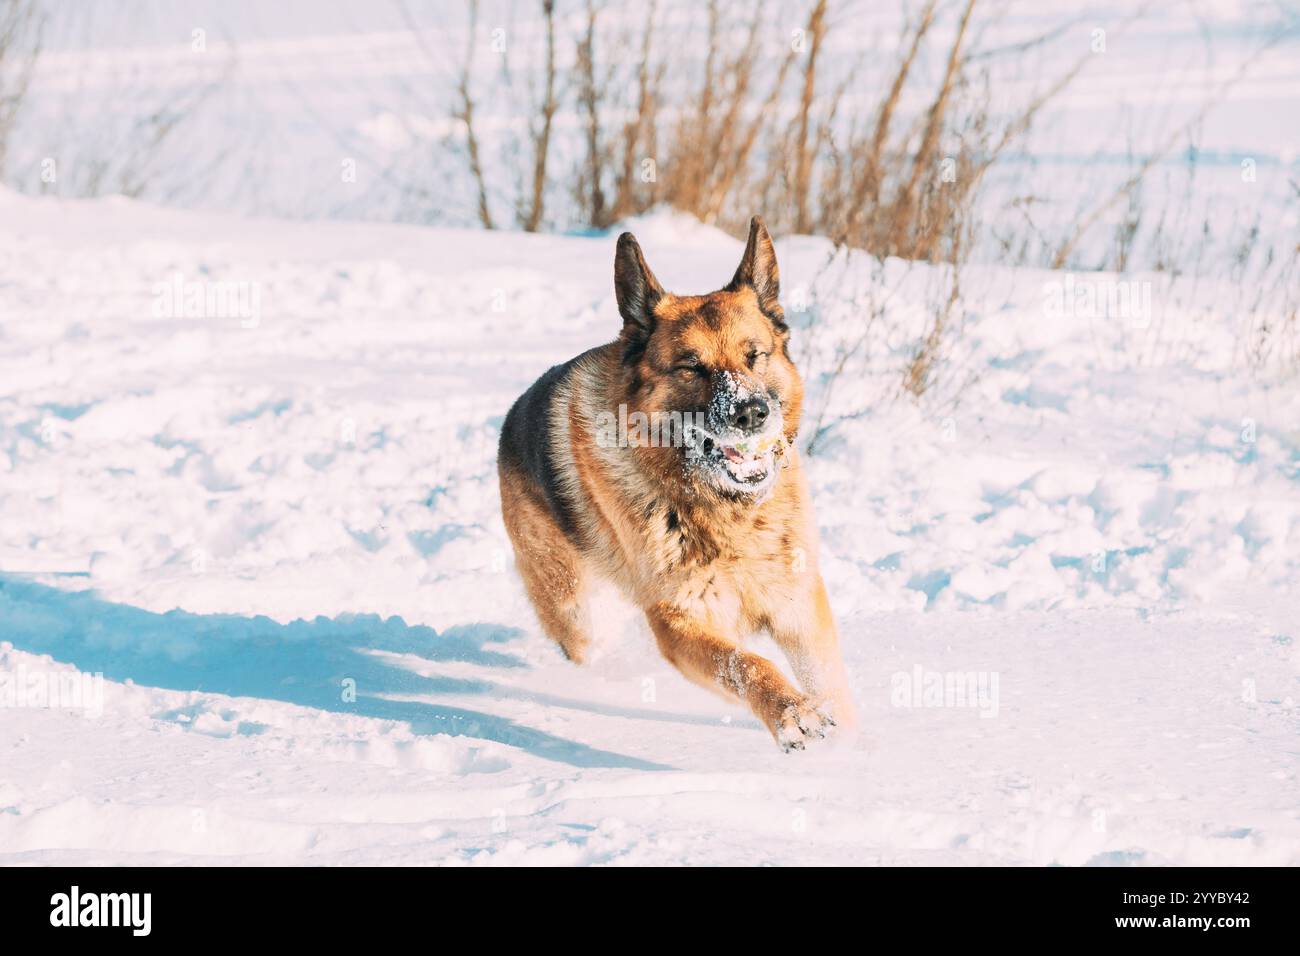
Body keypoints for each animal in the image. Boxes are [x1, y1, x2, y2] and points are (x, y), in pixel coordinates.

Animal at [496, 221, 852, 749]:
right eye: (691, 366)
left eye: (755, 356)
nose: (751, 413)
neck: (725, 511)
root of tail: (514, 413)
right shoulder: (678, 620)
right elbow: (745, 662)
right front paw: (792, 712)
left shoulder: (799, 606)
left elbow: (830, 687)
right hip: (577, 612)